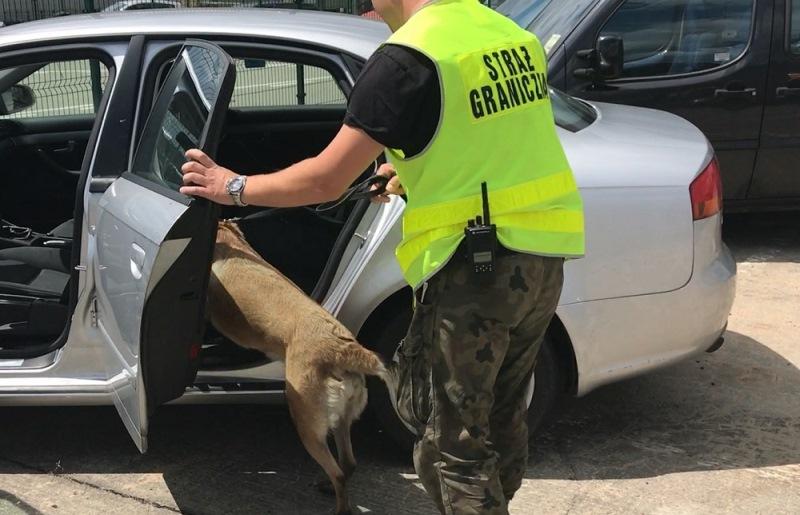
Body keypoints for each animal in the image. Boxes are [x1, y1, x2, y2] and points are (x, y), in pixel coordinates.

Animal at [208, 222, 390, 515]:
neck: (228, 239)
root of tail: (343, 349)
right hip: (341, 418)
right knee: (348, 464)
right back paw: (328, 487)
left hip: (306, 422)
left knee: (338, 472)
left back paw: (339, 507)